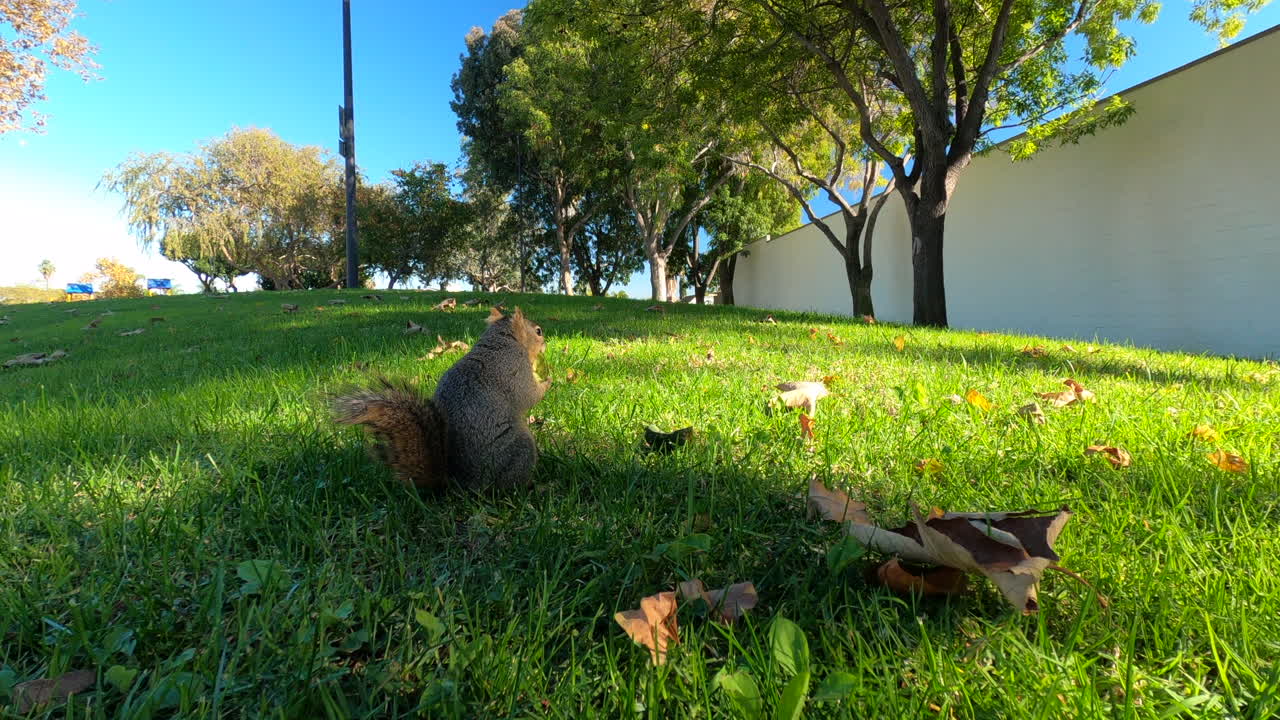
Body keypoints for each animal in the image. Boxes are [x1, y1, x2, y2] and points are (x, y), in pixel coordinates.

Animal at [330, 306, 551, 493]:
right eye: (538, 331)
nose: (546, 344)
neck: (502, 342)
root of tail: (459, 483)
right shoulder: (514, 370)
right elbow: (529, 395)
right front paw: (548, 381)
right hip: (520, 451)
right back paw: (534, 487)